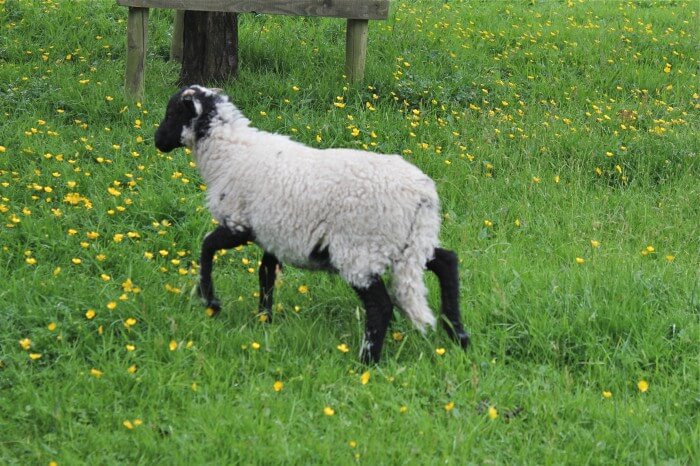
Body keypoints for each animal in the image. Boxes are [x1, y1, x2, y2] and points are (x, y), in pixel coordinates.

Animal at [154, 85, 470, 363]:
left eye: (172, 113)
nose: (157, 140)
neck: (229, 154)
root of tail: (422, 196)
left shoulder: (239, 224)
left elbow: (207, 247)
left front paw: (211, 302)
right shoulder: (272, 233)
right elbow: (265, 275)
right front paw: (263, 321)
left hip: (362, 249)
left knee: (380, 306)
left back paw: (367, 361)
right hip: (408, 243)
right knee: (447, 261)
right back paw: (459, 337)